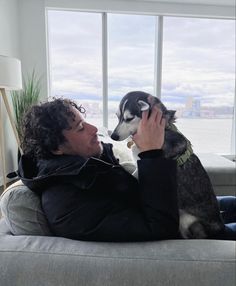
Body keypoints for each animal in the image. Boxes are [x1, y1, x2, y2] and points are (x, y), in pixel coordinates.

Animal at [110, 91, 225, 239]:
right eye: (117, 116)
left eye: (129, 118)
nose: (113, 136)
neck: (163, 129)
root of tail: (220, 228)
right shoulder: (137, 163)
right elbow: (131, 166)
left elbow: (134, 175)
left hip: (186, 220)